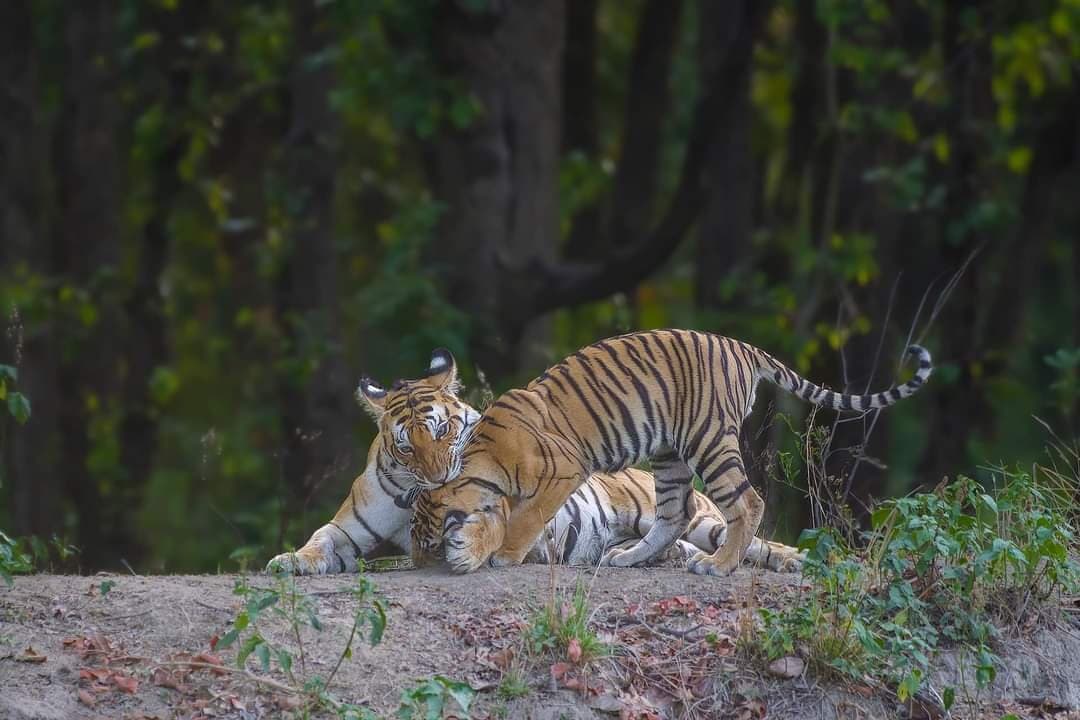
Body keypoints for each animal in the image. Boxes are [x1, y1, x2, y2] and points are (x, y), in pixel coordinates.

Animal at [407, 329, 933, 575]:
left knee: (747, 502)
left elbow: (528, 516)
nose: (417, 560)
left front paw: (503, 554)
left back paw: (717, 567)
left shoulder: (564, 471)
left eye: (428, 535)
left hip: (707, 438)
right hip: (668, 453)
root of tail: (741, 347)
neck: (479, 459)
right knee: (675, 515)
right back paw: (629, 558)